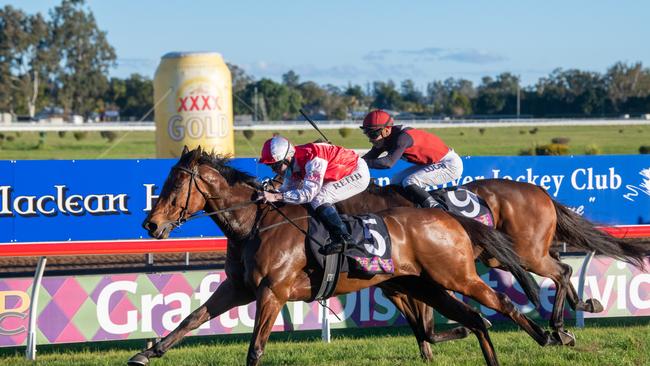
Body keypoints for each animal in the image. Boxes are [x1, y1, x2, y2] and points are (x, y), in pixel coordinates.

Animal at [129, 148, 556, 366]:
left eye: (175, 184)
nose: (151, 224)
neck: (255, 225)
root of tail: (447, 215)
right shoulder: (239, 289)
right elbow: (191, 319)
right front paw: (147, 352)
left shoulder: (272, 292)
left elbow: (255, 349)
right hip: (426, 284)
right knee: (475, 319)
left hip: (456, 276)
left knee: (501, 303)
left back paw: (552, 334)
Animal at [336, 179, 644, 356]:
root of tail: (539, 190)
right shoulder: (397, 289)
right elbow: (423, 331)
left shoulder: (423, 280)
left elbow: (427, 327)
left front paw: (475, 324)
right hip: (512, 253)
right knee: (561, 266)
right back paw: (581, 307)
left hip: (526, 253)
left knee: (562, 272)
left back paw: (558, 327)